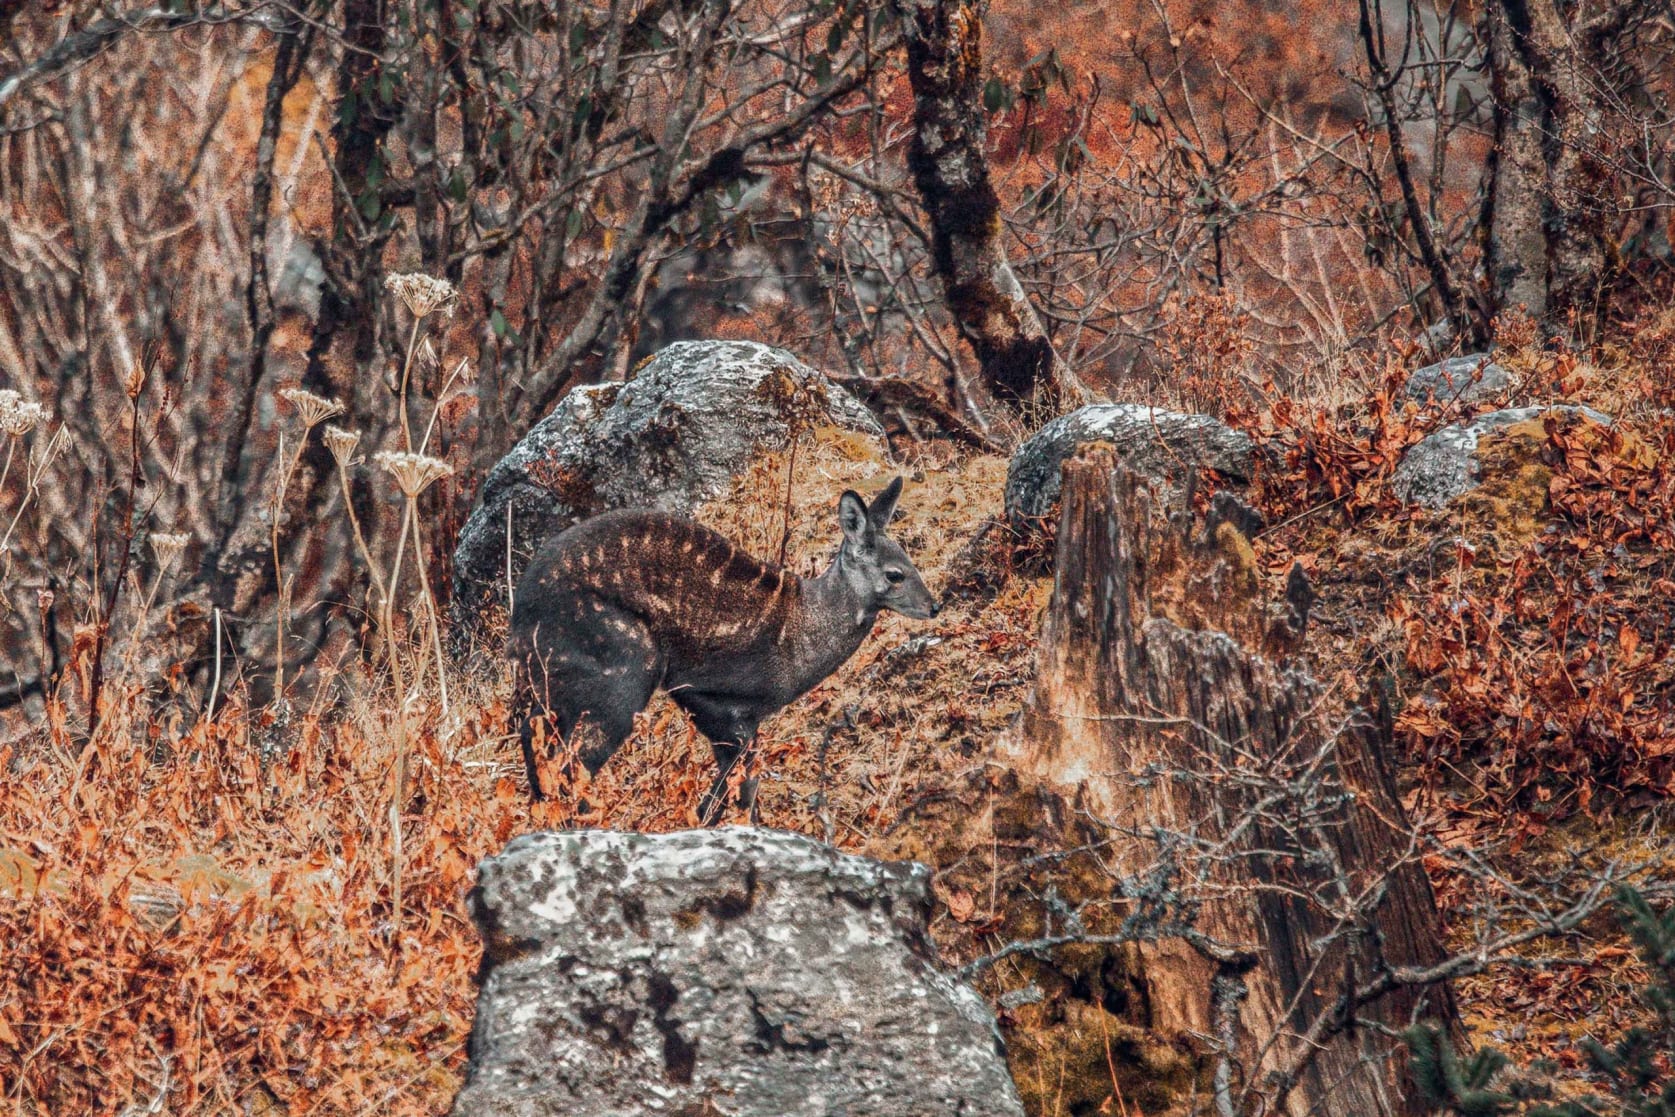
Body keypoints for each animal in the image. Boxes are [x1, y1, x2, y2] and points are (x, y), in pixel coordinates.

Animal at [509, 476, 938, 824]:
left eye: (911, 561)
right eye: (895, 574)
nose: (934, 606)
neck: (800, 643)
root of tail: (522, 615)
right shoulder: (710, 695)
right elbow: (736, 789)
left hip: (556, 686)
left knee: (536, 738)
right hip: (623, 668)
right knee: (572, 763)